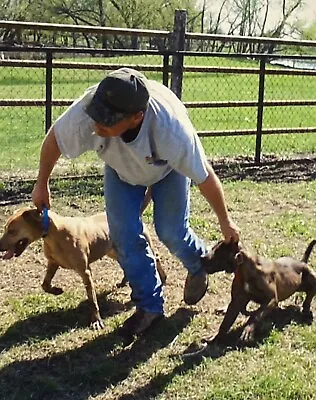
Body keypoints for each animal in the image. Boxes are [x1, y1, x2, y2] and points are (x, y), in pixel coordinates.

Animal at [0, 208, 167, 330]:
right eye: (6, 229)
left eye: (12, 231)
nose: (0, 246)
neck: (54, 232)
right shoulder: (52, 263)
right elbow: (45, 285)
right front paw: (56, 290)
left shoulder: (85, 272)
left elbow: (92, 300)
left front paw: (96, 321)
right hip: (115, 251)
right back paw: (124, 281)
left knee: (156, 257)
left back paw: (163, 278)